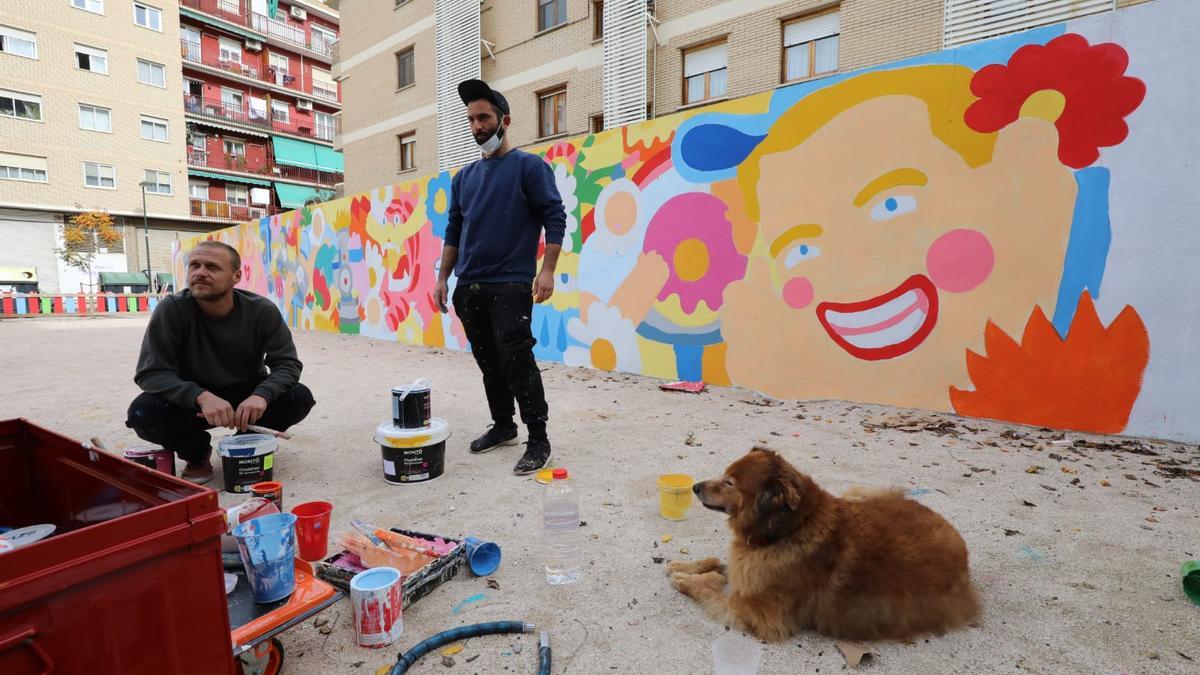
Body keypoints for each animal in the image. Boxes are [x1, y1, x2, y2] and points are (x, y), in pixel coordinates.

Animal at [672, 446, 979, 638]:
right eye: (724, 475)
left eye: (730, 483)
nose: (695, 487)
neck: (787, 529)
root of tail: (962, 548)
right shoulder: (750, 567)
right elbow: (720, 565)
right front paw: (682, 566)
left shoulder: (759, 612)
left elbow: (711, 590)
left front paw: (685, 581)